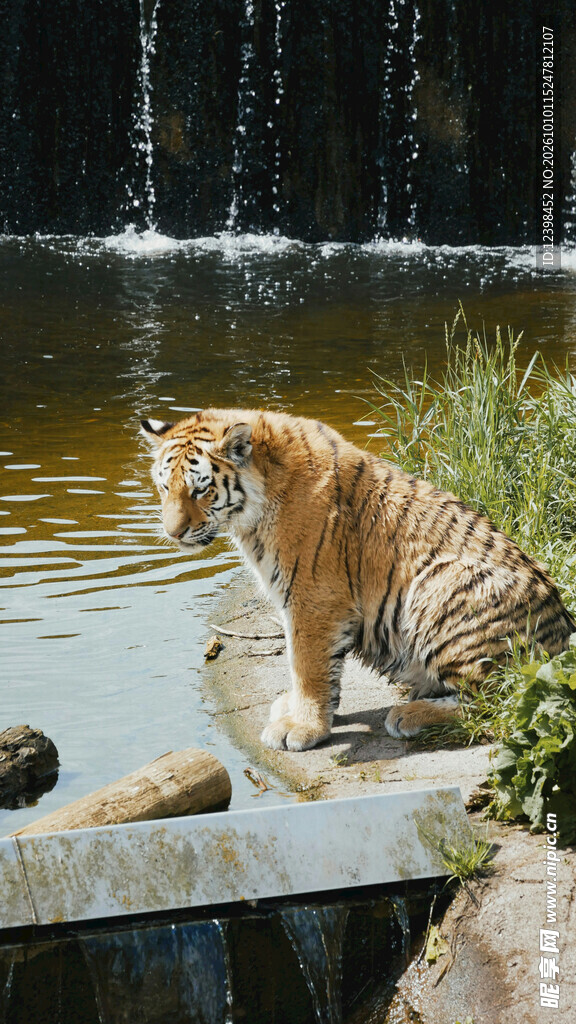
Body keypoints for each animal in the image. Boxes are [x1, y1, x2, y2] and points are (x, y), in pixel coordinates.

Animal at [140, 408, 575, 751]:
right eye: (164, 487)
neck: (253, 512)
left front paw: (302, 727)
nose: (173, 534)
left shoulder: (313, 597)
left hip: (441, 582)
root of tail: (562, 638)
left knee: (501, 701)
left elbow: (306, 664)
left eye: (200, 490)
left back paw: (410, 714)